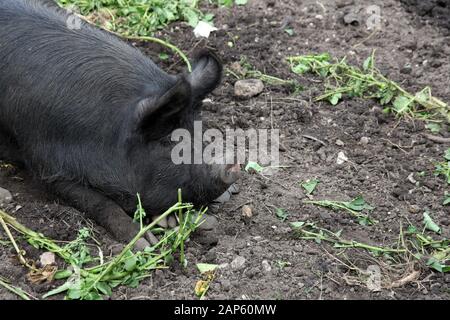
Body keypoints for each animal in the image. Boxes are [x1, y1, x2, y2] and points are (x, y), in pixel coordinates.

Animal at [0, 0, 239, 248]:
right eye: (168, 140)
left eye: (199, 127)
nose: (232, 161)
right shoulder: (45, 164)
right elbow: (99, 202)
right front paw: (145, 242)